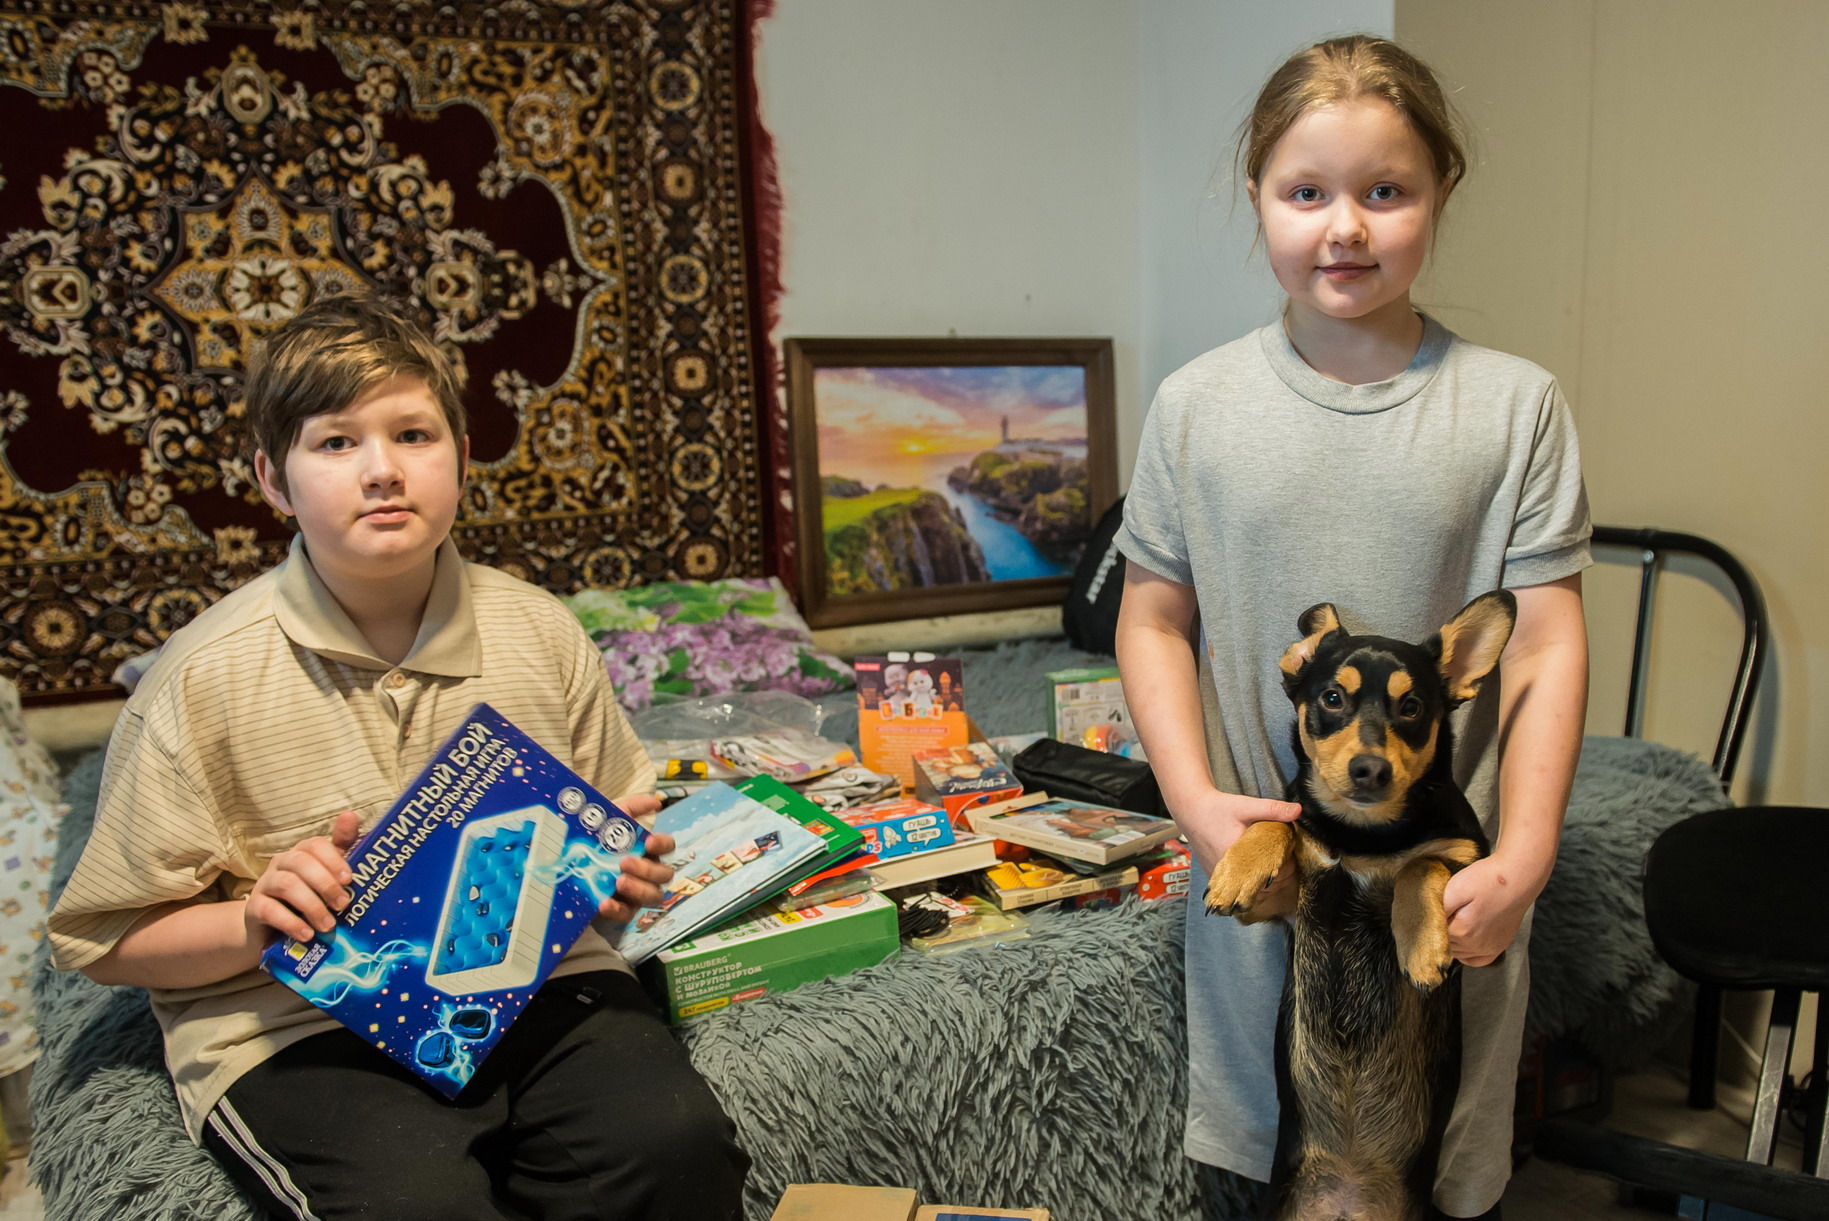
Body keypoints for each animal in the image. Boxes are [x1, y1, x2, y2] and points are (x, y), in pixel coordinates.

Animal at [1205, 591, 1517, 1221]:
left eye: (1412, 707)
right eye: (1332, 698)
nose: (1370, 769)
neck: (1364, 835)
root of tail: (1350, 1194)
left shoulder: (1478, 894)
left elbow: (1422, 865)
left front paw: (1419, 944)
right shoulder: (1289, 881)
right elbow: (1279, 821)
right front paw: (1236, 870)